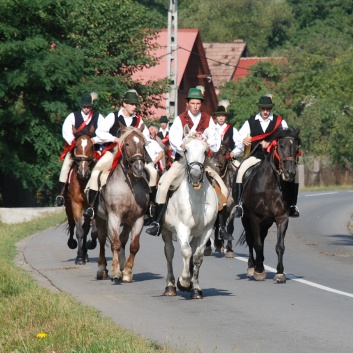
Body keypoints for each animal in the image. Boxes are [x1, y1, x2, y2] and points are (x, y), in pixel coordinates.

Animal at [95, 124, 148, 280]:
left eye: (143, 145)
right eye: (127, 144)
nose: (138, 167)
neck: (129, 187)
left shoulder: (138, 218)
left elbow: (134, 245)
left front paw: (127, 272)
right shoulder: (114, 216)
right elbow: (115, 243)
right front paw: (115, 271)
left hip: (128, 222)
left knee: (123, 239)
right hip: (99, 217)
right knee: (102, 240)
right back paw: (102, 269)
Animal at [162, 128, 217, 298]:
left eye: (205, 151)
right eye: (185, 150)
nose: (195, 176)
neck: (197, 198)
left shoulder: (206, 231)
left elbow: (197, 256)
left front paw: (196, 289)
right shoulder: (182, 228)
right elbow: (186, 252)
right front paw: (184, 282)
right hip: (166, 231)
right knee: (169, 253)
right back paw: (170, 286)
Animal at [228, 126, 300, 280]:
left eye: (297, 147)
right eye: (281, 145)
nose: (290, 173)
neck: (270, 186)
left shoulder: (281, 218)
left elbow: (280, 246)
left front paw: (280, 273)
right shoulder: (254, 217)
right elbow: (257, 244)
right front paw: (259, 270)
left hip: (266, 222)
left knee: (261, 236)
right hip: (245, 218)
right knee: (251, 239)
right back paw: (251, 267)